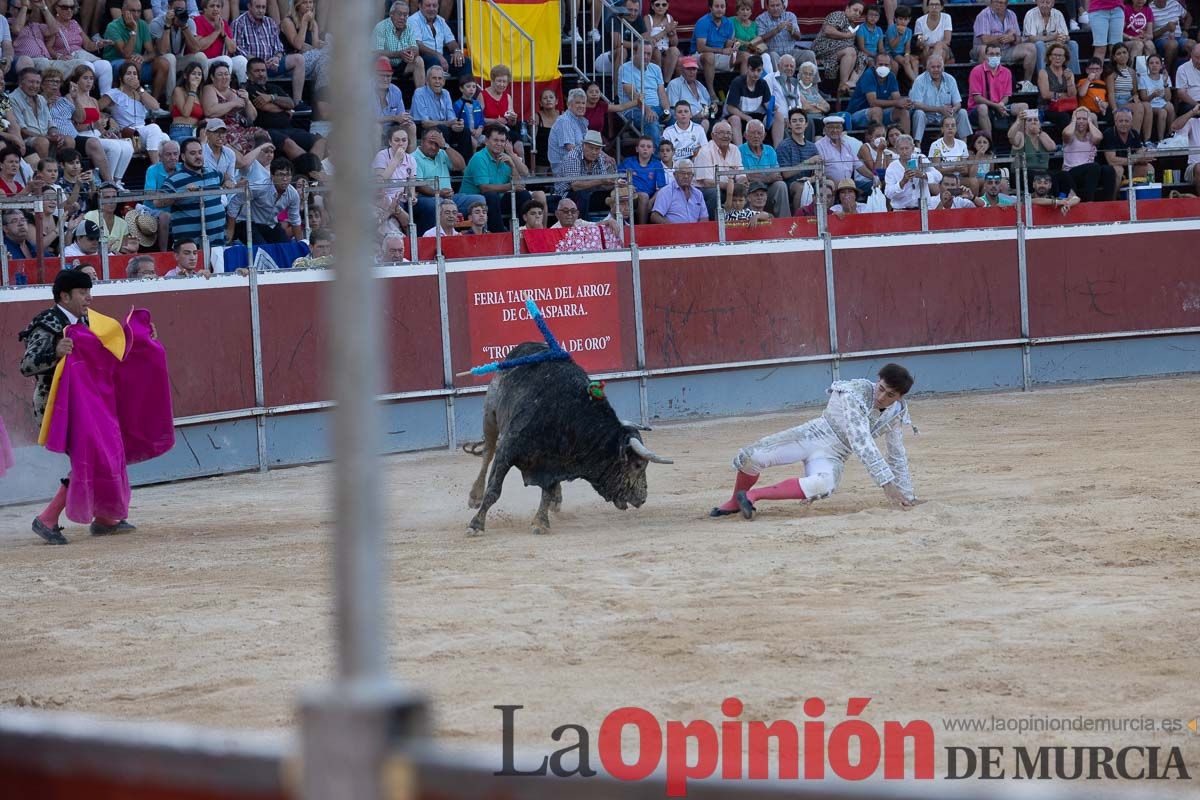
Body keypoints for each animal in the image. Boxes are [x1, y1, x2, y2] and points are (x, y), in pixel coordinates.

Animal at [460, 340, 672, 534]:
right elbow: (494, 489)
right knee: (487, 454)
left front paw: (540, 523)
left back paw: (557, 499)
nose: (642, 497)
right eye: (638, 465)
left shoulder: (555, 463)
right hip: (490, 415)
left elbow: (547, 491)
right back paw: (475, 496)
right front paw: (476, 524)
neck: (568, 417)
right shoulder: (507, 451)